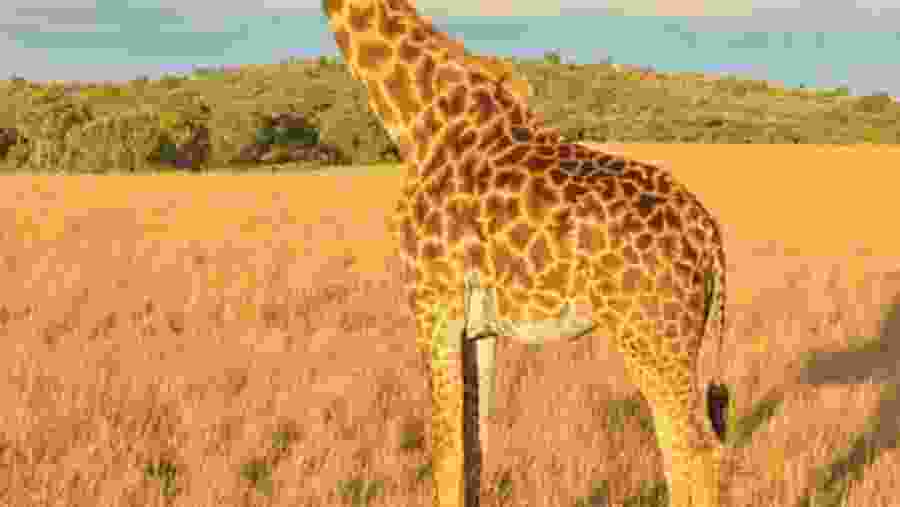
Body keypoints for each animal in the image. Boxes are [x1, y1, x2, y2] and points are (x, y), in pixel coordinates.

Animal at [321, 1, 731, 506]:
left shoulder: (433, 302)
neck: (418, 119)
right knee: (680, 446)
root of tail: (709, 236)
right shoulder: (478, 326)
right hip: (676, 340)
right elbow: (475, 446)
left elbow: (445, 452)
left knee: (697, 448)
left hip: (652, 335)